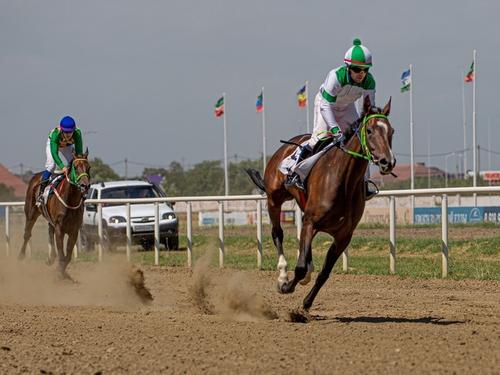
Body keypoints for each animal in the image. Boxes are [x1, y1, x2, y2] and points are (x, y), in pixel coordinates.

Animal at [18, 149, 91, 280]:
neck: (70, 200)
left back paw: (51, 258)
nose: (85, 185)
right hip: (31, 212)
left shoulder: (74, 230)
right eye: (75, 167)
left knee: (49, 230)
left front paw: (62, 272)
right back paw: (21, 256)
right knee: (27, 234)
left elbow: (67, 257)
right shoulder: (59, 228)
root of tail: (36, 176)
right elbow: (62, 255)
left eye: (89, 167)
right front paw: (60, 274)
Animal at [245, 96, 394, 312]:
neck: (344, 181)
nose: (387, 162)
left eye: (391, 131)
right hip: (274, 199)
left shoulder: (343, 236)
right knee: (277, 234)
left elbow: (324, 273)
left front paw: (305, 305)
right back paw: (283, 274)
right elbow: (299, 268)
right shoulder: (310, 221)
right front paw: (287, 285)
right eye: (369, 130)